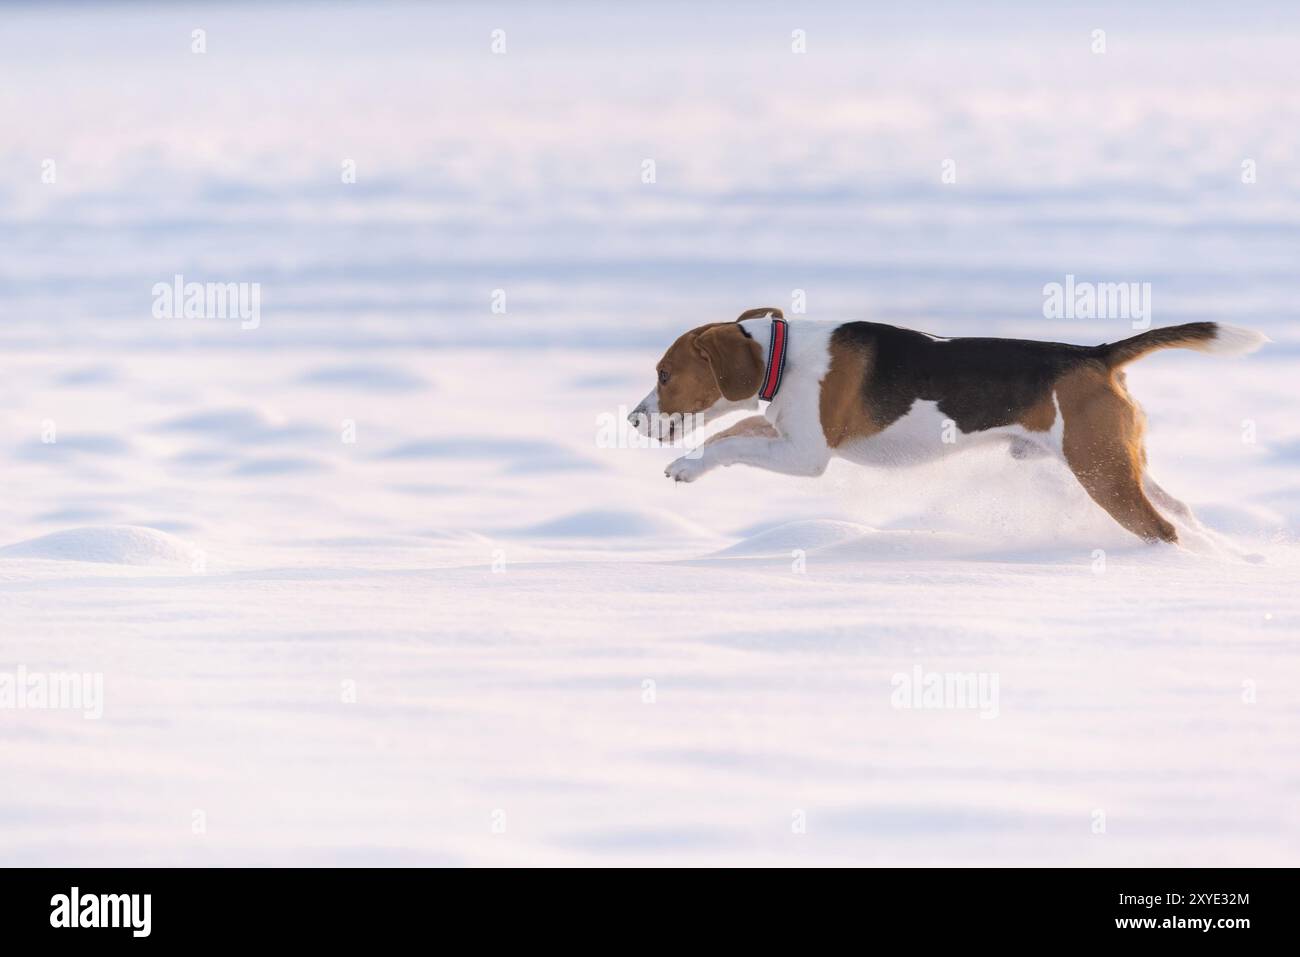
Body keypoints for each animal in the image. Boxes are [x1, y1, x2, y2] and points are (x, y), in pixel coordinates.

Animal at [631, 308, 1268, 546]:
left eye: (664, 374)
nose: (634, 419)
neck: (783, 358)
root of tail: (1095, 355)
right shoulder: (784, 434)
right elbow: (729, 433)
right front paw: (688, 463)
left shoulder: (806, 455)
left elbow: (728, 443)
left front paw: (687, 465)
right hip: (1120, 461)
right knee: (1180, 509)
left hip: (1101, 475)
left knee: (1162, 527)